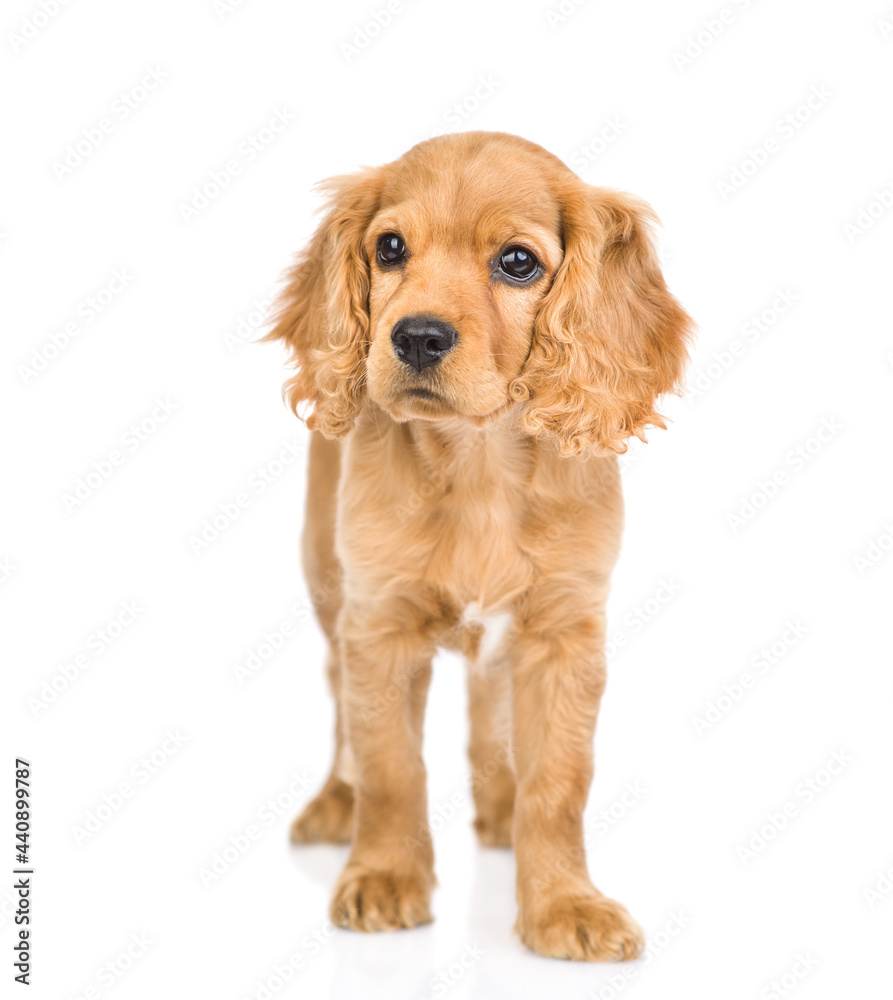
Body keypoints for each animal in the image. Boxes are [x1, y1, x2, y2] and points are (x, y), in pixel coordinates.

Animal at [268, 131, 692, 960]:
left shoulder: (564, 633)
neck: (478, 464)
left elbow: (558, 783)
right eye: (389, 248)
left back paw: (498, 803)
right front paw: (384, 877)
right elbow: (390, 767)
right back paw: (336, 803)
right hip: (328, 586)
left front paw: (564, 904)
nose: (415, 335)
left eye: (517, 262)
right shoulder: (379, 625)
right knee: (340, 708)